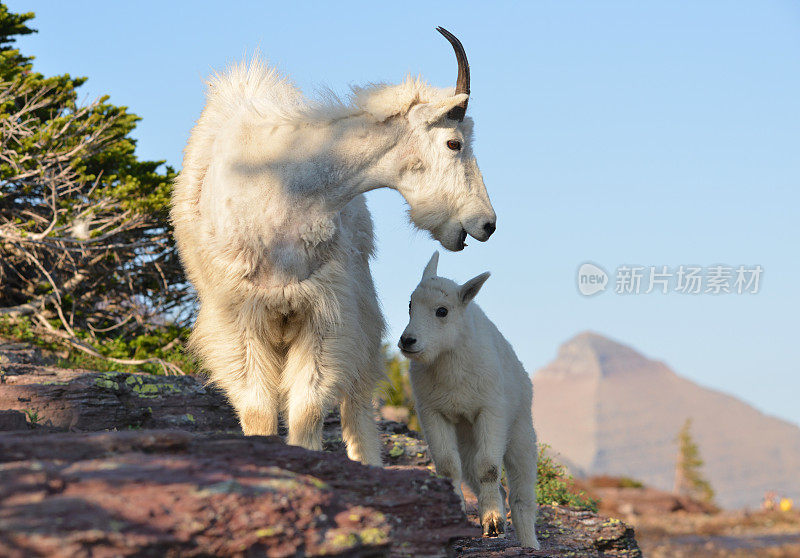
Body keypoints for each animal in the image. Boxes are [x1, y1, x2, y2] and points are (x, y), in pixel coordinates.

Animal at [170, 28, 494, 466]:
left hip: (362, 315)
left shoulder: (325, 314)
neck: (286, 189)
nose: (486, 224)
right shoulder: (238, 317)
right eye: (454, 143)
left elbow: (307, 407)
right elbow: (257, 408)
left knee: (357, 404)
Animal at [400, 254, 544, 552]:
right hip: (467, 440)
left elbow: (488, 467)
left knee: (521, 497)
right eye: (410, 305)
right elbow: (447, 465)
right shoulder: (433, 412)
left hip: (521, 434)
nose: (407, 341)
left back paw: (529, 543)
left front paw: (493, 523)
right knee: (486, 480)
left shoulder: (490, 411)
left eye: (442, 311)